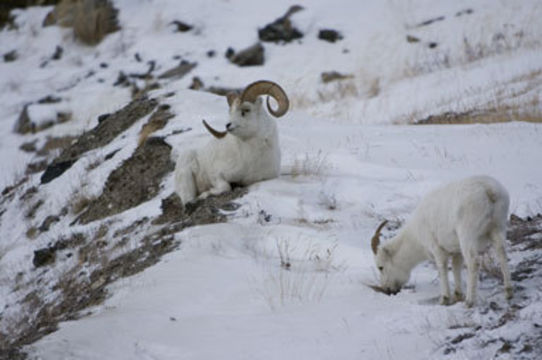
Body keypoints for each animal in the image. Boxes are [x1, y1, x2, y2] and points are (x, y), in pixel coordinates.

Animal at [372, 175, 516, 306]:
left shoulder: (437, 250)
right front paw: (457, 295)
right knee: (502, 253)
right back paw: (508, 292)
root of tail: (489, 191)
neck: (416, 236)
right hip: (498, 228)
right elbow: (456, 267)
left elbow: (442, 269)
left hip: (467, 235)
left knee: (474, 262)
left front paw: (445, 299)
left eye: (381, 267)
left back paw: (469, 301)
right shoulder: (457, 251)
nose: (387, 289)